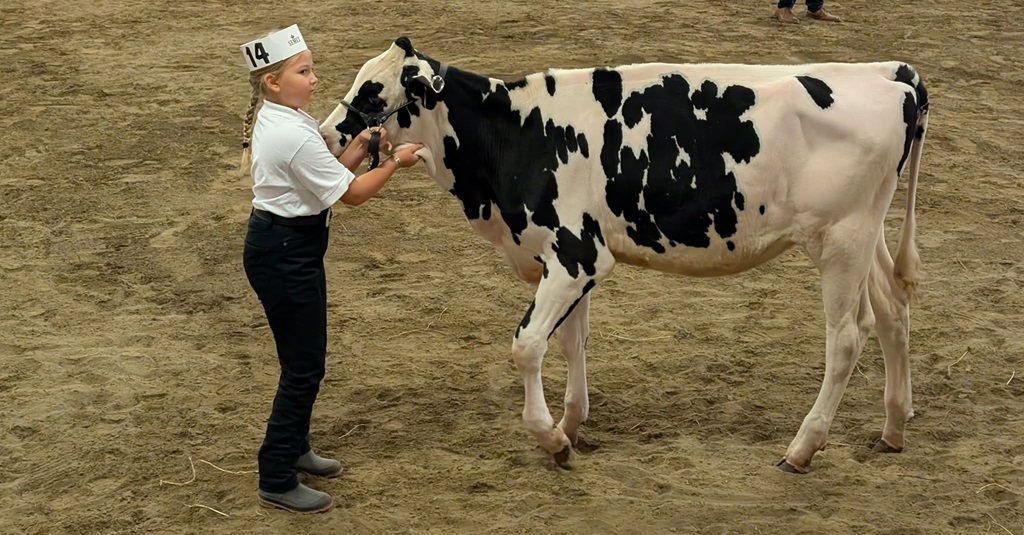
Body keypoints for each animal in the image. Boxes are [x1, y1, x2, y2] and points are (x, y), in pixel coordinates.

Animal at [320, 37, 929, 473]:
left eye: (373, 90)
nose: (326, 134)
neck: (517, 135)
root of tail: (891, 74)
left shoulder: (577, 255)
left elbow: (527, 345)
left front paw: (550, 439)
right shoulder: (564, 262)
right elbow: (571, 340)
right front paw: (571, 425)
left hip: (841, 241)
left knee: (847, 338)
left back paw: (802, 448)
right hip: (867, 234)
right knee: (894, 311)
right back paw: (894, 429)